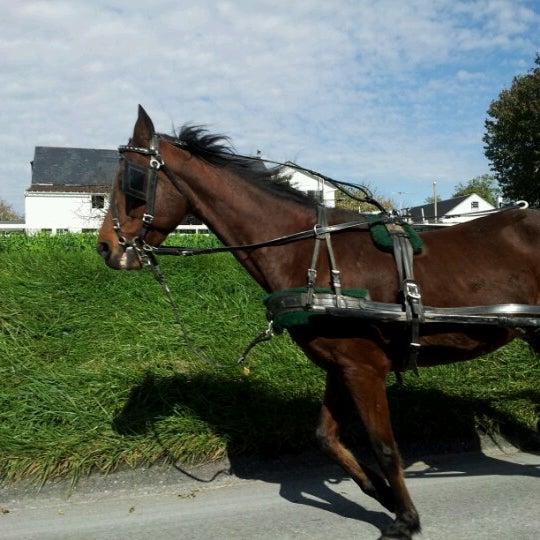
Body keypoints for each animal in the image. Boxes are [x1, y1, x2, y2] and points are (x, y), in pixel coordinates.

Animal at [98, 104, 540, 536]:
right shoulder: (340, 367)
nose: (105, 247)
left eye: (132, 178)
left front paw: (405, 517)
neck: (307, 253)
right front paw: (381, 494)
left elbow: (384, 447)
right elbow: (326, 438)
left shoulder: (364, 369)